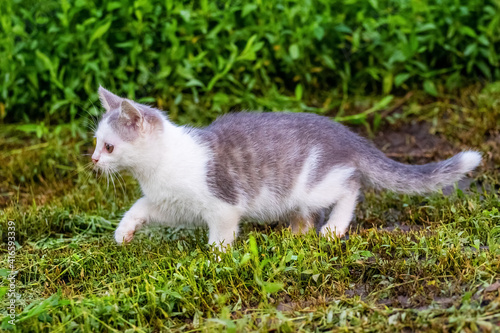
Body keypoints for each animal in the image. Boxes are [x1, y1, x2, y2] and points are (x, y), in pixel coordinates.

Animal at [90, 87, 480, 248]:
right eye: (95, 142)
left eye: (109, 146)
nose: (93, 160)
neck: (158, 168)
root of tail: (346, 134)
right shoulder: (172, 204)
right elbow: (140, 206)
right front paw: (124, 233)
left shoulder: (223, 204)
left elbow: (222, 233)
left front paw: (215, 260)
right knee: (309, 212)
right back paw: (294, 233)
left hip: (317, 182)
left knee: (351, 185)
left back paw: (333, 228)